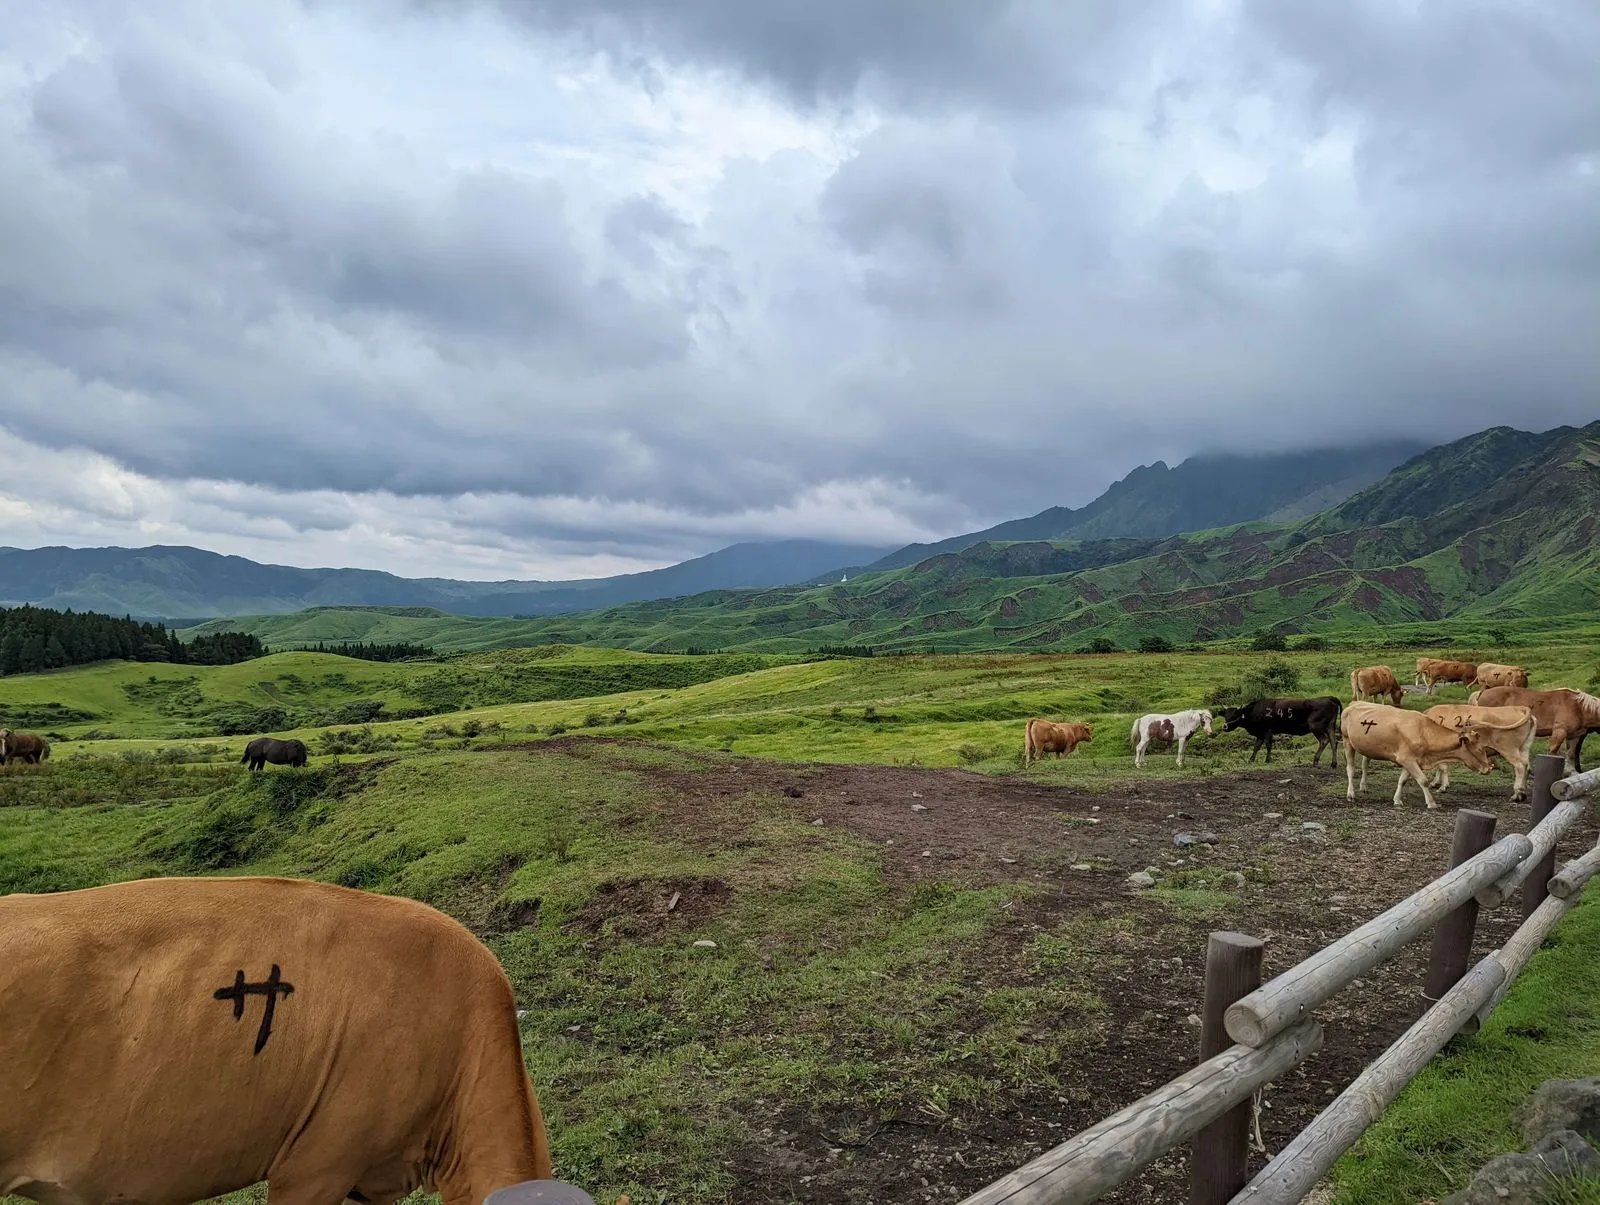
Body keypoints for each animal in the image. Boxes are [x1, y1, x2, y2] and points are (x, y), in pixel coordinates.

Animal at [1216, 694, 1344, 761]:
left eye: (1235, 715)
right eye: (1226, 715)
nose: (1225, 726)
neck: (1254, 711)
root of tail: (1328, 698)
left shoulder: (1268, 731)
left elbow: (1268, 746)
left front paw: (1267, 760)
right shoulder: (1260, 734)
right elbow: (1256, 747)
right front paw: (1251, 760)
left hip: (1316, 727)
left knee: (1324, 741)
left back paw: (1316, 760)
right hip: (1330, 726)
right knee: (1334, 742)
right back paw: (1333, 764)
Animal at [1344, 694, 1491, 809]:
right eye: (1479, 749)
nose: (1488, 768)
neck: (1423, 732)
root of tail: (1355, 702)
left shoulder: (1413, 761)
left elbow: (1402, 780)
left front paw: (1397, 800)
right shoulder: (1406, 759)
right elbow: (1423, 780)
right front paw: (1431, 803)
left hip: (1368, 747)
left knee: (1365, 764)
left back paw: (1364, 786)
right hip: (1347, 742)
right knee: (1350, 769)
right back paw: (1351, 794)